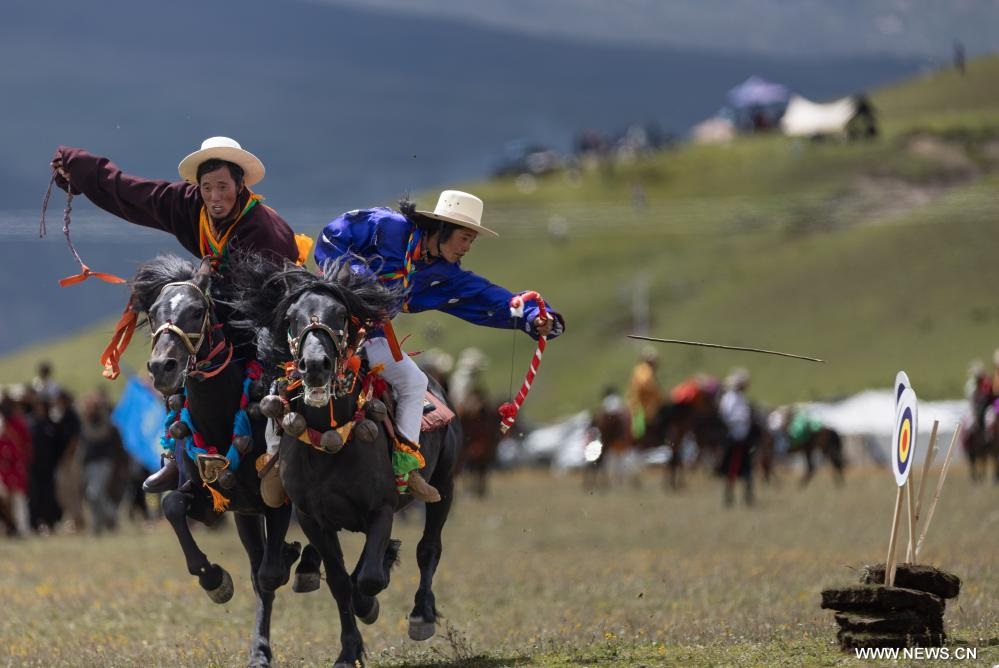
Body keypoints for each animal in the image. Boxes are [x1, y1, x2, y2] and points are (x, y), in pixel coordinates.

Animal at [131, 254, 308, 664]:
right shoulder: (213, 500)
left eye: (197, 311)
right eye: (153, 312)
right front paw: (215, 580)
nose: (162, 367)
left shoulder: (278, 501)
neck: (222, 416)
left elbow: (270, 574)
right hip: (245, 516)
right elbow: (172, 505)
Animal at [234, 258, 464, 668]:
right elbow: (342, 581)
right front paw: (349, 649)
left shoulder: (382, 508)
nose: (315, 365)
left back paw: (421, 614)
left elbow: (369, 578)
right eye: (291, 317)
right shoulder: (312, 519)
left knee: (429, 548)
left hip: (445, 485)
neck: (331, 440)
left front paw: (369, 604)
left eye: (341, 315)